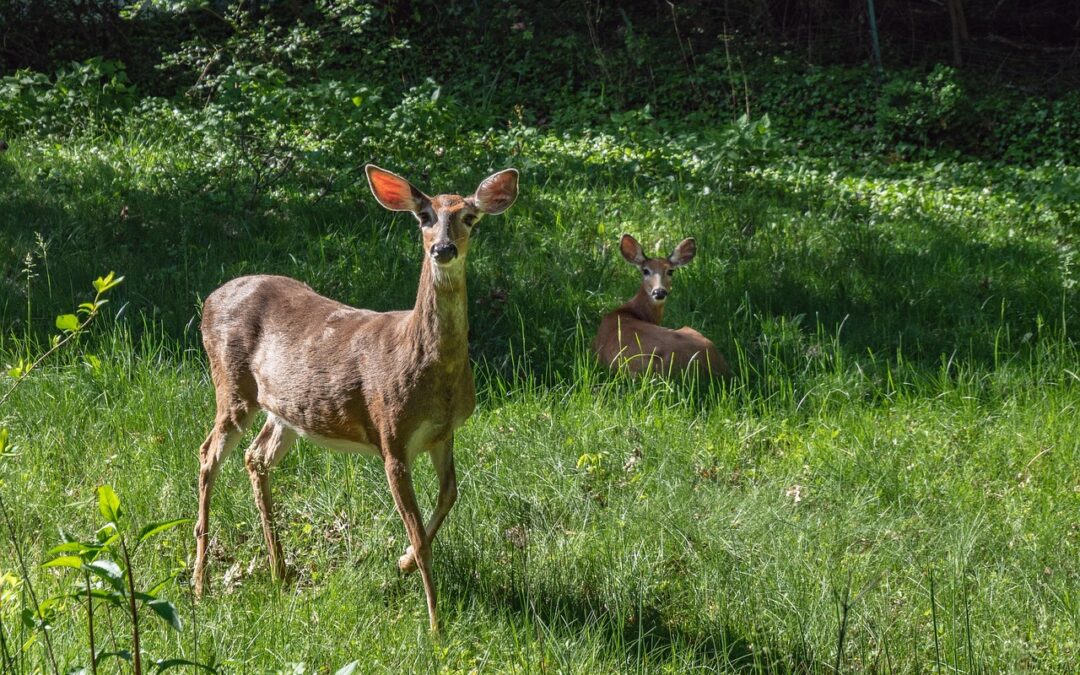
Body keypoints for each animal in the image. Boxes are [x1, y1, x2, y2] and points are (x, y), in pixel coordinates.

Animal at [193, 163, 518, 630]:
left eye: (470, 217)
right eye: (423, 216)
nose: (443, 248)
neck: (430, 369)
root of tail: (208, 301)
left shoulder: (443, 433)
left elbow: (450, 495)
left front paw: (401, 563)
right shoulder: (391, 435)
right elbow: (419, 533)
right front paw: (435, 625)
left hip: (285, 409)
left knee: (256, 457)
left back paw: (280, 571)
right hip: (233, 385)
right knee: (208, 454)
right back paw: (200, 583)